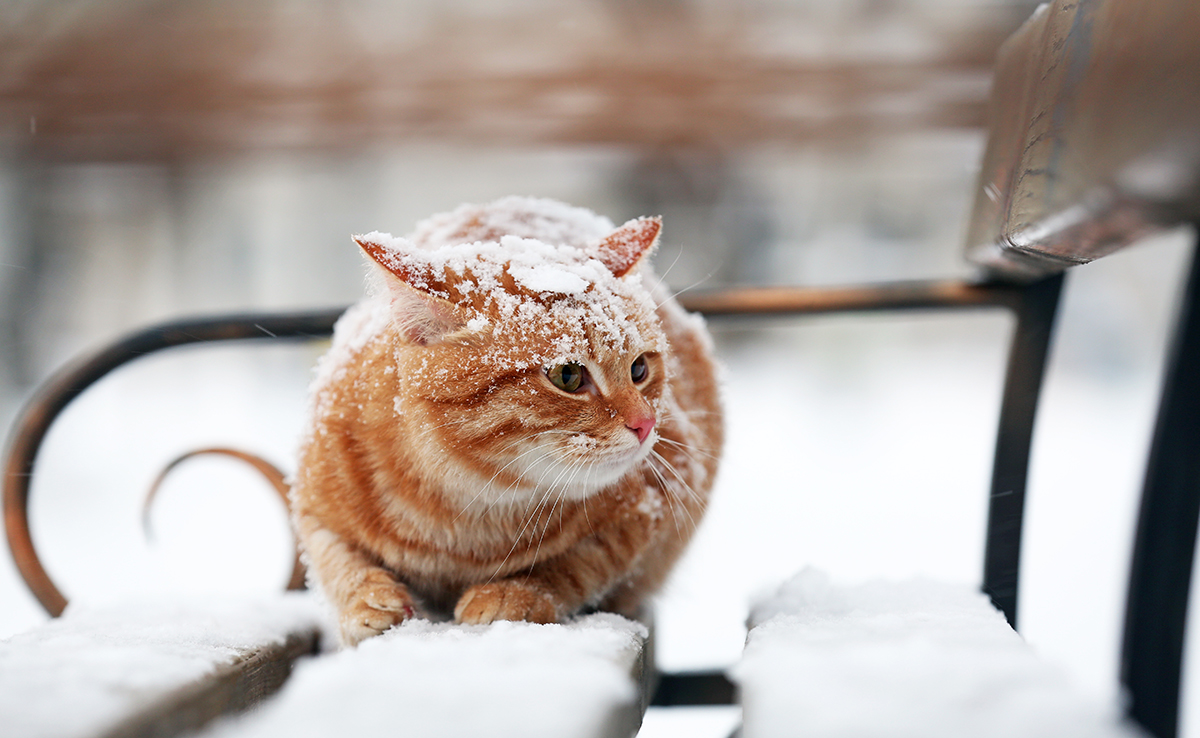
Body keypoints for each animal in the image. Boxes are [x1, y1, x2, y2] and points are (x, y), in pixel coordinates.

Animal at [290, 196, 720, 648]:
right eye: (567, 376)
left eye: (639, 369)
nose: (646, 424)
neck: (464, 517)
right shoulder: (313, 508)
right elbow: (338, 561)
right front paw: (368, 599)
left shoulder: (655, 504)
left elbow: (577, 564)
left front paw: (515, 592)